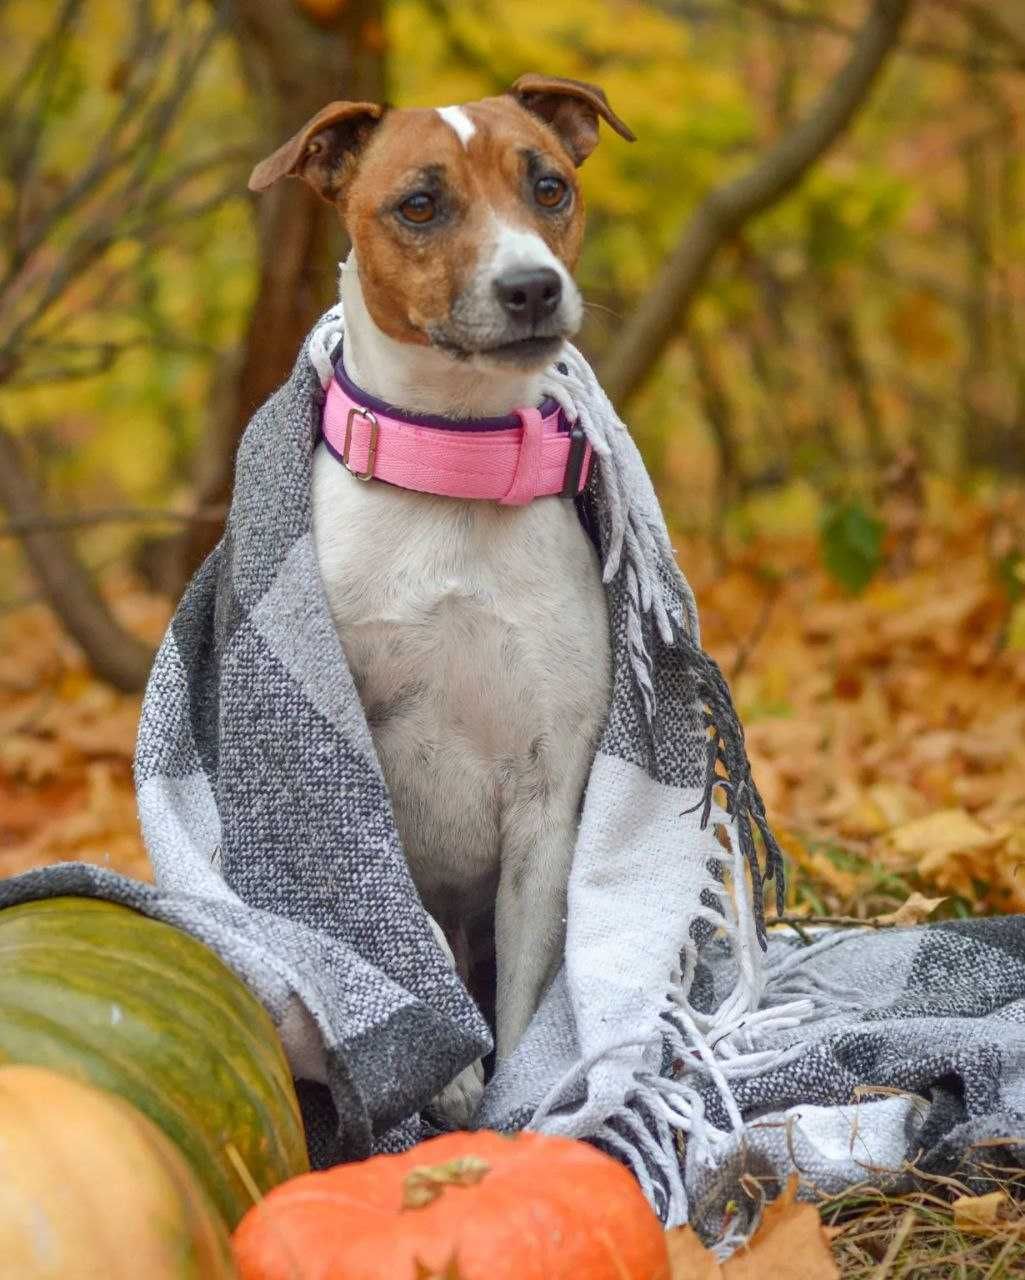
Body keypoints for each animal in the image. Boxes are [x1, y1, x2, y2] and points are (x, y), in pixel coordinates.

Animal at [248, 77, 632, 1121]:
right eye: (419, 204)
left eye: (549, 187)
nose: (531, 286)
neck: (453, 473)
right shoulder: (356, 771)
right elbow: (402, 918)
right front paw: (452, 1068)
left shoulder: (548, 797)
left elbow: (529, 987)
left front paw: (515, 1096)